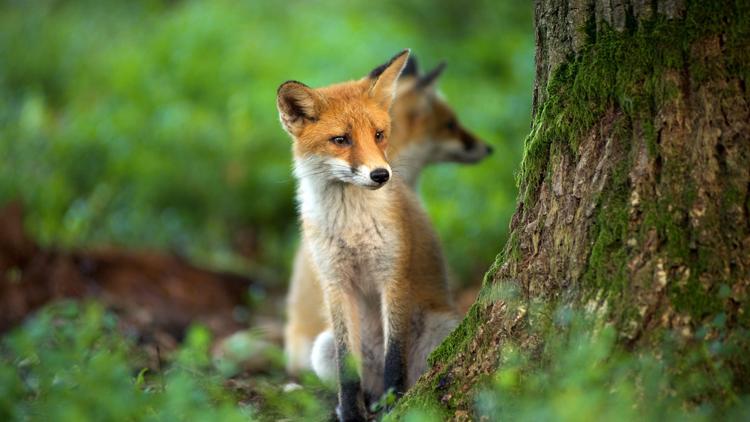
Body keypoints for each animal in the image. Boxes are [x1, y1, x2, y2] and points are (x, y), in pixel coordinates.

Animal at [276, 49, 464, 418]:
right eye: (341, 140)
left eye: (379, 134)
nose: (381, 175)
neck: (352, 225)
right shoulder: (335, 283)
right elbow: (347, 369)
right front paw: (351, 412)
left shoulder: (393, 276)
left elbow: (395, 358)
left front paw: (394, 405)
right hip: (321, 348)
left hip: (443, 329)